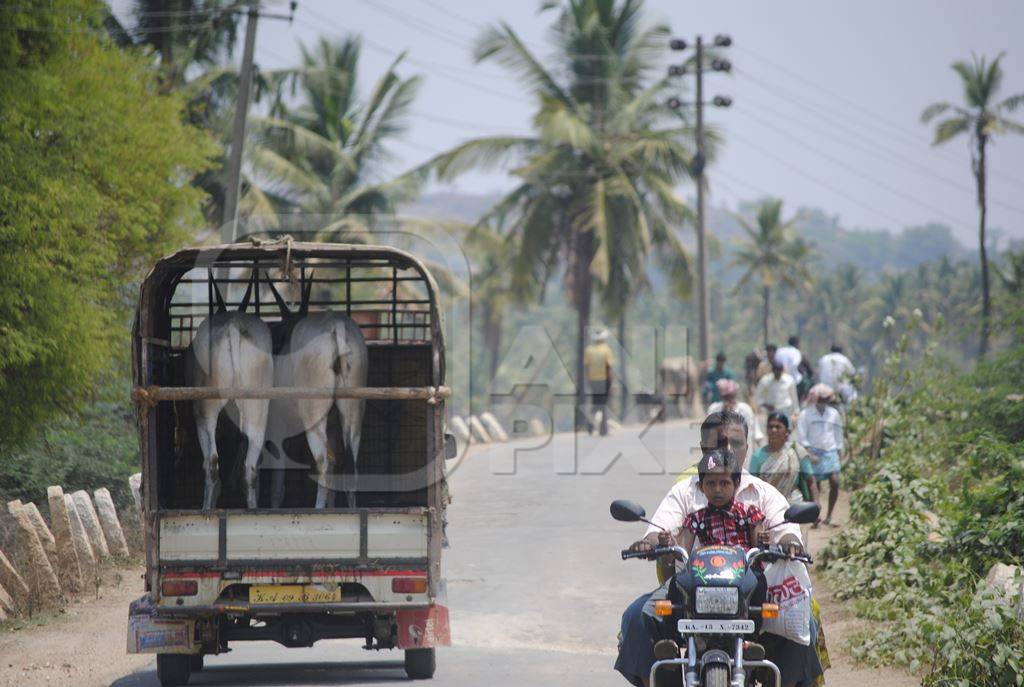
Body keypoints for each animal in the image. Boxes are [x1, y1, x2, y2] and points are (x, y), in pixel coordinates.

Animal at [184, 274, 272, 509]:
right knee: (250, 466)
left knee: (212, 462)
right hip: (257, 410)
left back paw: (207, 507)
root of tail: (233, 325)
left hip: (206, 410)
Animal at [266, 276, 370, 509]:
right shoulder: (332, 426)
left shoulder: (277, 427)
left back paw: (318, 509)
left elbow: (277, 486)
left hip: (313, 416)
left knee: (324, 461)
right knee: (350, 466)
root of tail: (335, 325)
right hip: (353, 414)